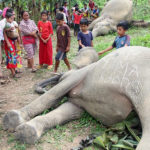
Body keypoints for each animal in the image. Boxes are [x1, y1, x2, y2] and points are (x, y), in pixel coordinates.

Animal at [2, 46, 150, 149]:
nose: (41, 88)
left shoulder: (79, 74)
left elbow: (55, 93)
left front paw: (12, 119)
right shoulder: (78, 101)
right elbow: (68, 111)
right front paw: (26, 132)